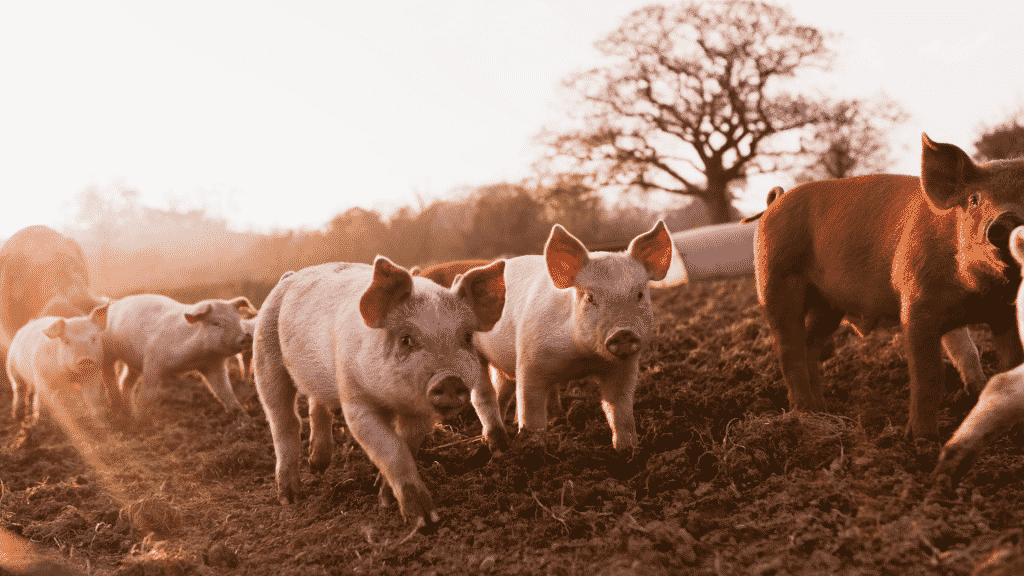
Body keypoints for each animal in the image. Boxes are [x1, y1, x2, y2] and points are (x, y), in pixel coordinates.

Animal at [101, 293, 258, 420]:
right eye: (216, 323)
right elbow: (147, 395)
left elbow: (226, 393)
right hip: (107, 352)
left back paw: (129, 413)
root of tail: (115, 303)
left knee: (125, 383)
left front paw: (246, 419)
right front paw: (141, 422)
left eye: (238, 320)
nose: (246, 337)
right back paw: (120, 409)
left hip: (132, 363)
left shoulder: (214, 366)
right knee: (109, 376)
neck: (195, 359)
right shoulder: (152, 362)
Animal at [254, 255, 507, 524]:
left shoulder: (419, 414)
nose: (449, 379)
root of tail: (289, 276)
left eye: (467, 338)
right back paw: (289, 498)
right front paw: (425, 521)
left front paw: (384, 498)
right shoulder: (355, 399)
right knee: (284, 421)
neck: (393, 401)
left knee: (317, 405)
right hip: (265, 357)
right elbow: (392, 449)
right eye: (406, 339)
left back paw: (318, 467)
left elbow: (406, 446)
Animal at [475, 218, 684, 448]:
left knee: (507, 389)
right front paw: (534, 444)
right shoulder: (529, 361)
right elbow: (531, 409)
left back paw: (551, 416)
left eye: (639, 294)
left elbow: (619, 409)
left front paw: (627, 449)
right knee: (487, 396)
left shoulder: (625, 367)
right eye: (590, 297)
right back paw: (493, 440)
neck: (583, 359)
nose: (622, 332)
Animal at [753, 133, 1024, 438]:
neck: (977, 293)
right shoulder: (916, 305)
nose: (1006, 220)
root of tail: (774, 203)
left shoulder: (1004, 313)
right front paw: (921, 439)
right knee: (788, 348)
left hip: (828, 306)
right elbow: (928, 375)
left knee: (810, 344)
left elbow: (1007, 361)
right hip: (776, 283)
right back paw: (805, 415)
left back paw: (823, 409)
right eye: (975, 199)